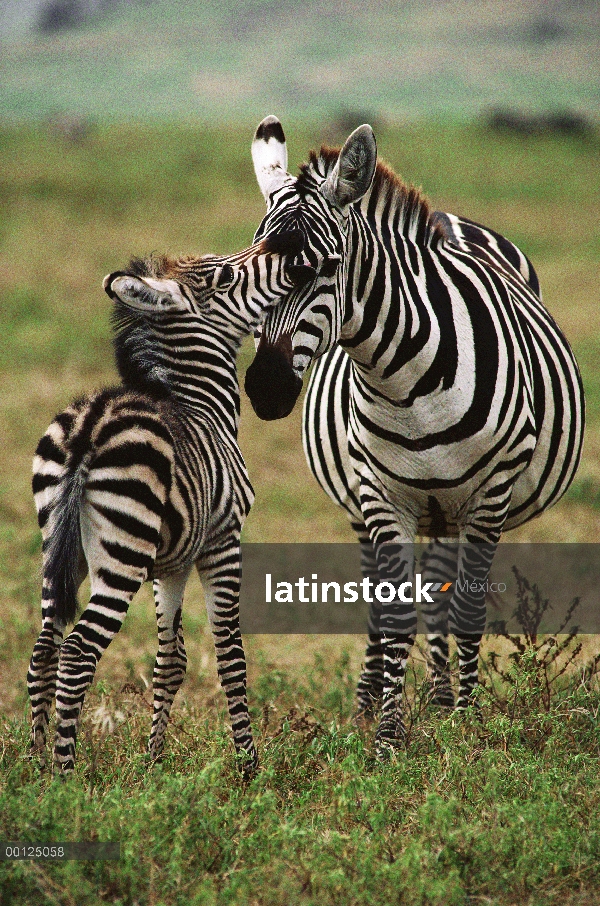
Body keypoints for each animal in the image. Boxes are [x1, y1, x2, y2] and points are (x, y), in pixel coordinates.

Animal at [27, 235, 300, 776]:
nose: (288, 254)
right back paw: (65, 775)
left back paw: (34, 762)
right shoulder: (221, 539)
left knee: (45, 647)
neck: (204, 406)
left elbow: (170, 661)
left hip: (57, 547)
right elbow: (230, 655)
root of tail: (90, 423)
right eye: (224, 277)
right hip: (122, 552)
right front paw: (248, 767)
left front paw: (154, 761)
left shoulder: (170, 564)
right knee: (77, 651)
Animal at [245, 116, 584, 752]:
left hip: (451, 506)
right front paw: (387, 736)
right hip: (378, 503)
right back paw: (381, 700)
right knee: (388, 604)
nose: (264, 390)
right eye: (252, 271)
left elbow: (467, 609)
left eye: (324, 269)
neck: (406, 384)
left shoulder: (488, 494)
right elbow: (396, 614)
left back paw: (446, 699)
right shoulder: (383, 494)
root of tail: (451, 218)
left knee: (443, 592)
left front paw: (467, 725)